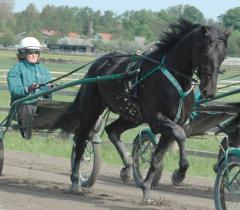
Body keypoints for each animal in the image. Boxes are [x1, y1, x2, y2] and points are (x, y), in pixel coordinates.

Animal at [53, 20, 232, 202]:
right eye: (206, 55)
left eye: (223, 57)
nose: (209, 91)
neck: (172, 76)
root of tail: (99, 62)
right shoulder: (157, 119)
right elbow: (180, 135)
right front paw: (179, 173)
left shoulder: (174, 122)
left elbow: (158, 157)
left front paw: (146, 189)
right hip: (92, 108)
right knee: (81, 139)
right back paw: (75, 181)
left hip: (132, 116)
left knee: (112, 130)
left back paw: (127, 166)